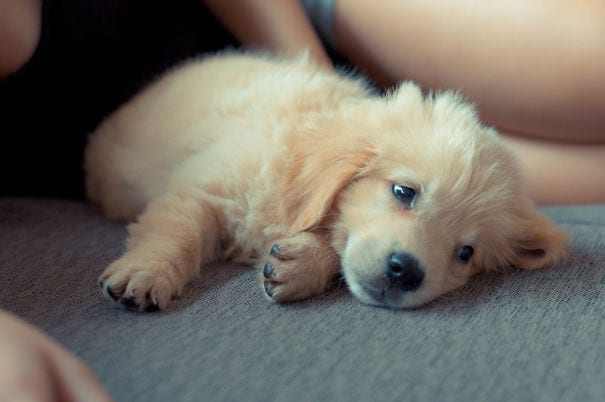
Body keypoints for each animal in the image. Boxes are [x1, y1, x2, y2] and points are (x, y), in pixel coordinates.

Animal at [85, 51, 568, 312]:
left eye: (465, 253)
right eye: (404, 192)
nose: (407, 272)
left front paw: (301, 264)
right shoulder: (204, 186)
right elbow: (179, 232)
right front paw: (148, 271)